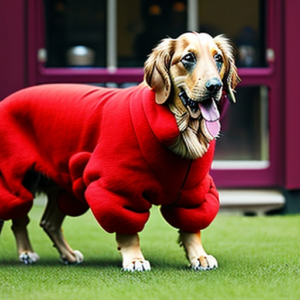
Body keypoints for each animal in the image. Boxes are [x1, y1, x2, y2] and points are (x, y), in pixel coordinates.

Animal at [0, 31, 239, 270]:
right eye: (188, 58)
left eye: (218, 58)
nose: (215, 86)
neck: (182, 129)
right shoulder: (118, 187)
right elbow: (127, 229)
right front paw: (135, 259)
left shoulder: (192, 190)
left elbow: (191, 226)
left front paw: (199, 255)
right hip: (16, 179)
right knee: (18, 217)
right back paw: (26, 252)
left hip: (64, 187)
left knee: (47, 222)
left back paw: (67, 254)